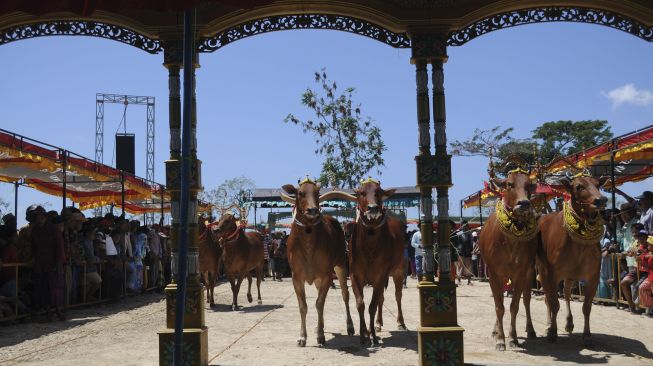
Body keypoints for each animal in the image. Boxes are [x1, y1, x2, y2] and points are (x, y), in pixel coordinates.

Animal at [278, 182, 354, 348]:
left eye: (317, 193)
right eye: (300, 193)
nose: (312, 210)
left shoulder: (326, 275)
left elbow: (319, 303)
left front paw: (320, 336)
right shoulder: (296, 277)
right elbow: (303, 306)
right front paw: (302, 337)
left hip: (340, 265)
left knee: (345, 294)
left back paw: (350, 326)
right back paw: (321, 326)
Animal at [328, 180, 404, 346]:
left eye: (379, 192)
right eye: (361, 193)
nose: (373, 208)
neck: (370, 246)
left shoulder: (381, 276)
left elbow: (372, 306)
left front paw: (372, 336)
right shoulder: (356, 276)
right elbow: (361, 304)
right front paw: (364, 334)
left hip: (399, 270)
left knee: (397, 295)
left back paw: (400, 322)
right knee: (382, 298)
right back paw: (378, 323)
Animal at [476, 165, 536, 348]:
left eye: (529, 185)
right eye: (509, 184)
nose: (524, 203)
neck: (510, 241)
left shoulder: (522, 273)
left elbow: (514, 306)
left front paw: (513, 338)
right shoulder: (494, 273)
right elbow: (499, 306)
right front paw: (501, 339)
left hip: (530, 272)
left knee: (527, 300)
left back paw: (531, 330)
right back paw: (495, 331)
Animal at [536, 173, 608, 344]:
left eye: (598, 184)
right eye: (578, 186)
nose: (601, 200)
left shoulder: (593, 276)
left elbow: (586, 306)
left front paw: (587, 334)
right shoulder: (551, 274)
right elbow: (554, 304)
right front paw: (552, 331)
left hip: (569, 276)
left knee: (567, 293)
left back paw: (569, 323)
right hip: (542, 271)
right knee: (548, 299)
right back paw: (549, 324)